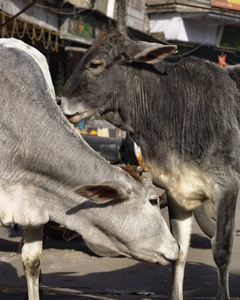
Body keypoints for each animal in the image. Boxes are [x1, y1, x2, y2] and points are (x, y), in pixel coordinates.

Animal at [57, 27, 240, 298]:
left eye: (94, 64)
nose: (59, 101)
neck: (176, 108)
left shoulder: (227, 186)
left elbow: (221, 249)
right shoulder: (178, 192)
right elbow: (179, 251)